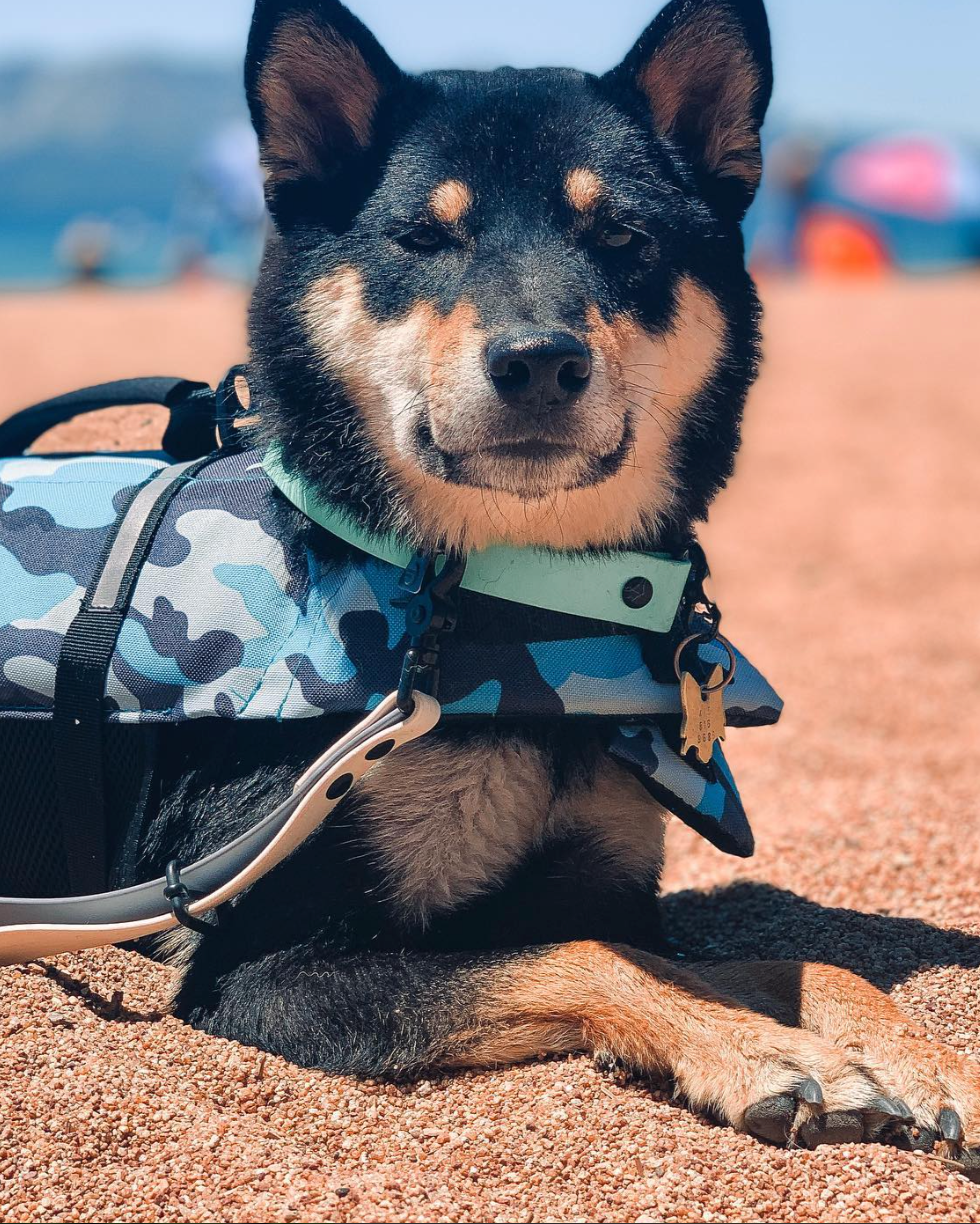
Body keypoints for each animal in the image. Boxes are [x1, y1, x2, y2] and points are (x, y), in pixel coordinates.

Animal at [133, 0, 973, 1155]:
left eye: (619, 237)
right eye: (425, 238)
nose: (538, 361)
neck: (521, 605)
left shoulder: (607, 889)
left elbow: (787, 959)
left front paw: (925, 1058)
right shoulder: (259, 963)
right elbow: (597, 962)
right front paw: (760, 1053)